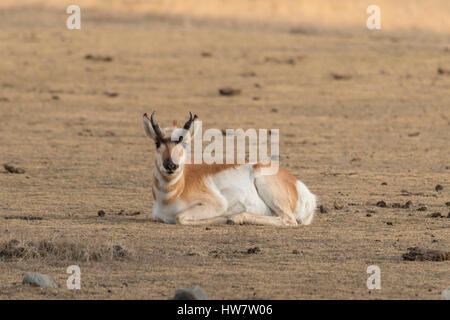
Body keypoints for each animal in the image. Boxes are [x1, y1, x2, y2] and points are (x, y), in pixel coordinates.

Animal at [143, 111, 316, 226]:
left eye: (184, 143)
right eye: (157, 143)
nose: (171, 166)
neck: (173, 193)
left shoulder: (217, 204)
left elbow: (180, 218)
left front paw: (226, 219)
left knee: (289, 221)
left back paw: (235, 218)